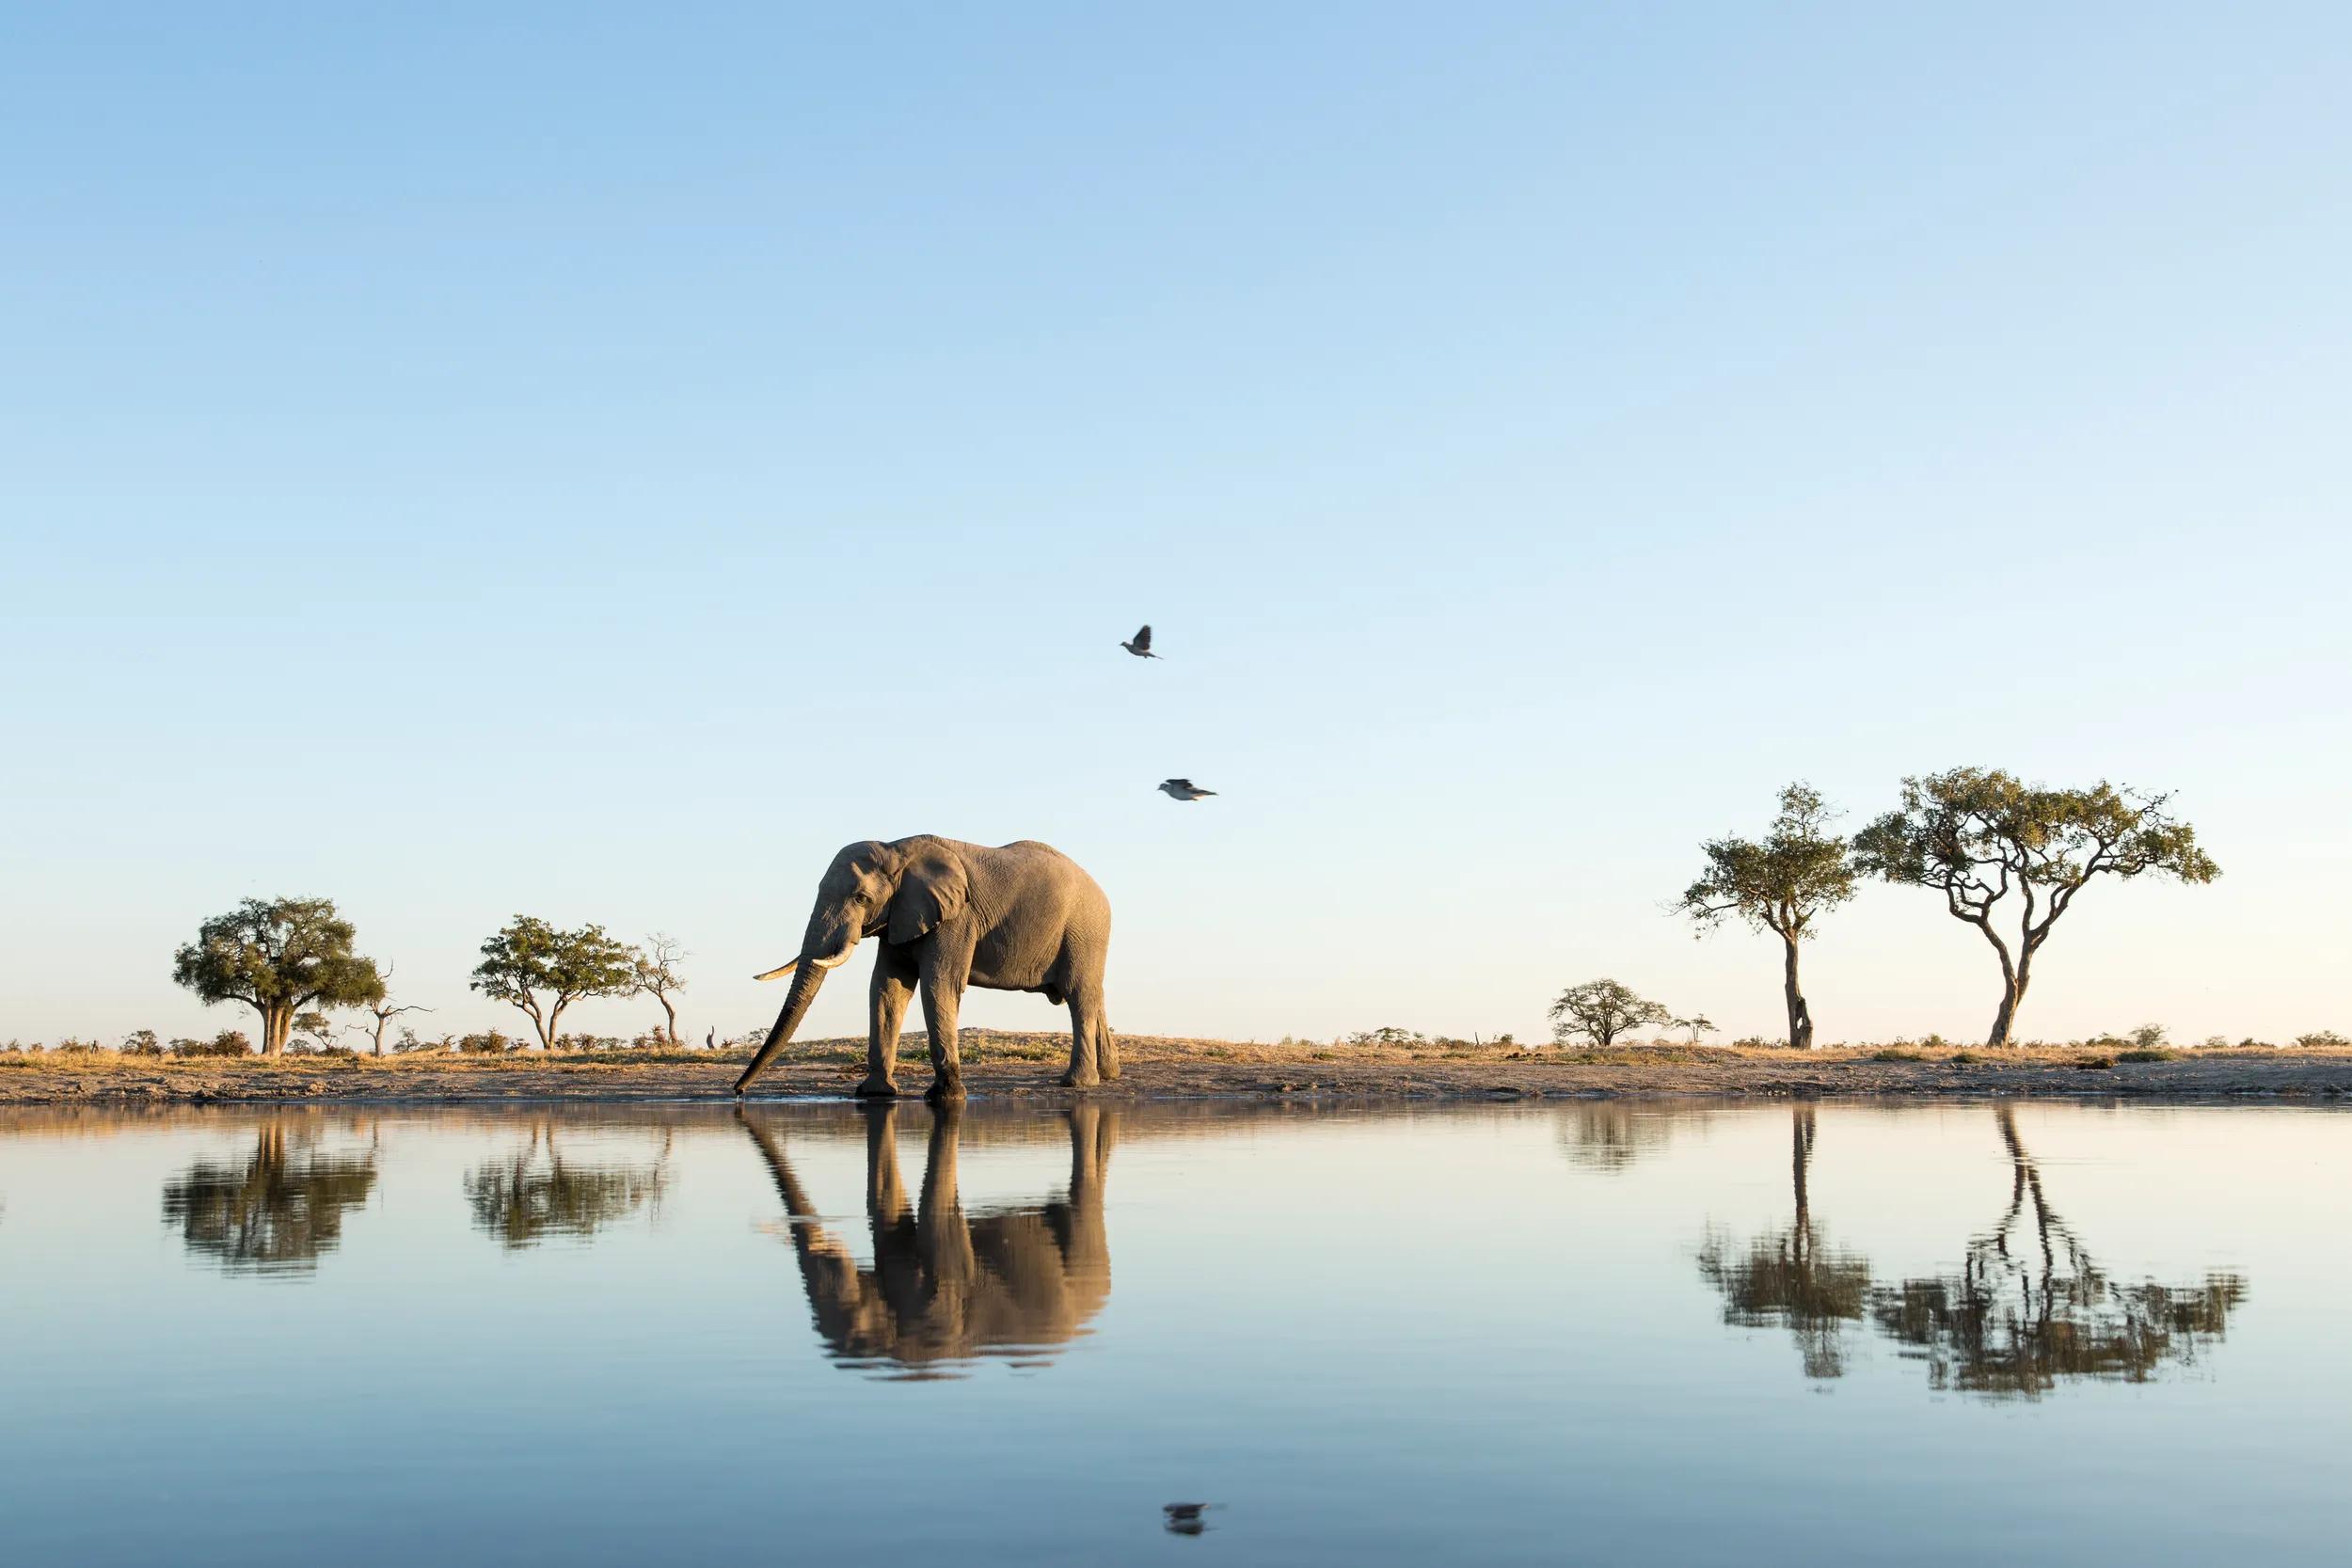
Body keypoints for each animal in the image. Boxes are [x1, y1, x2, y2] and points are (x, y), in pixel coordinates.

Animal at [734, 835, 1117, 1099]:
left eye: (861, 898)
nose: (738, 1092)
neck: (896, 849)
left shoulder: (956, 918)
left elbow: (939, 983)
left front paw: (946, 1097)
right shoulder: (899, 918)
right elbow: (888, 987)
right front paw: (876, 1094)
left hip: (1084, 930)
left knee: (1079, 996)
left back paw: (1076, 1083)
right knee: (1093, 995)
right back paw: (1109, 1073)